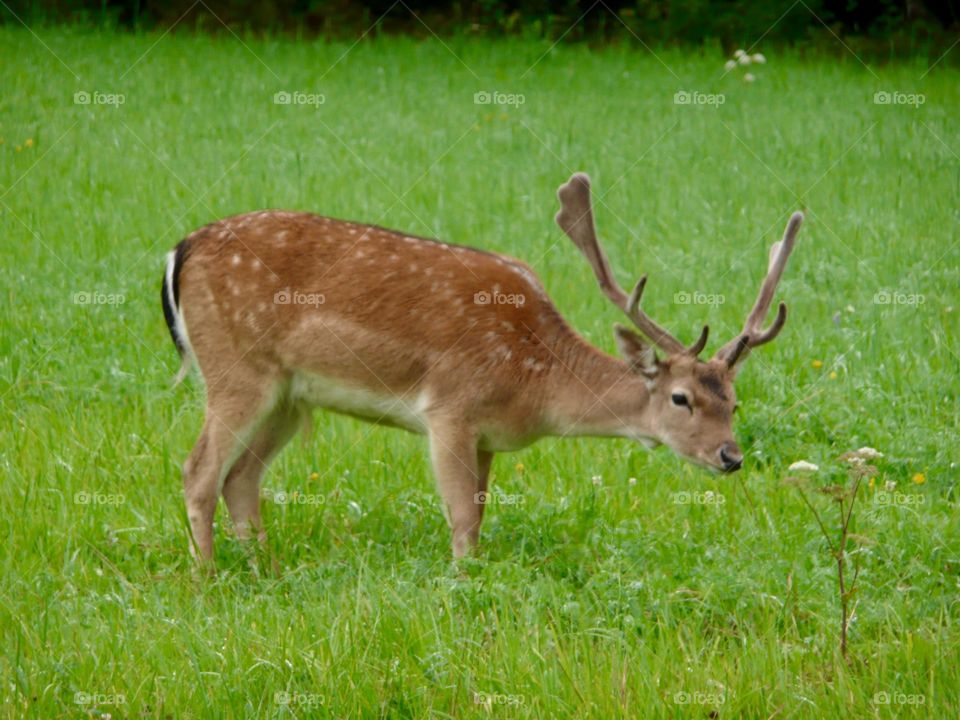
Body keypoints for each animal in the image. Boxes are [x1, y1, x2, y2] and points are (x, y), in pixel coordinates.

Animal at [163, 172, 804, 560]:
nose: (731, 456)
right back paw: (207, 580)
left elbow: (480, 512)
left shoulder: (490, 437)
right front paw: (463, 587)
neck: (533, 382)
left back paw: (263, 569)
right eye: (680, 398)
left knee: (242, 477)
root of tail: (179, 250)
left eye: (734, 401)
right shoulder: (450, 408)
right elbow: (461, 522)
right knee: (199, 471)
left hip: (289, 397)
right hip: (236, 369)